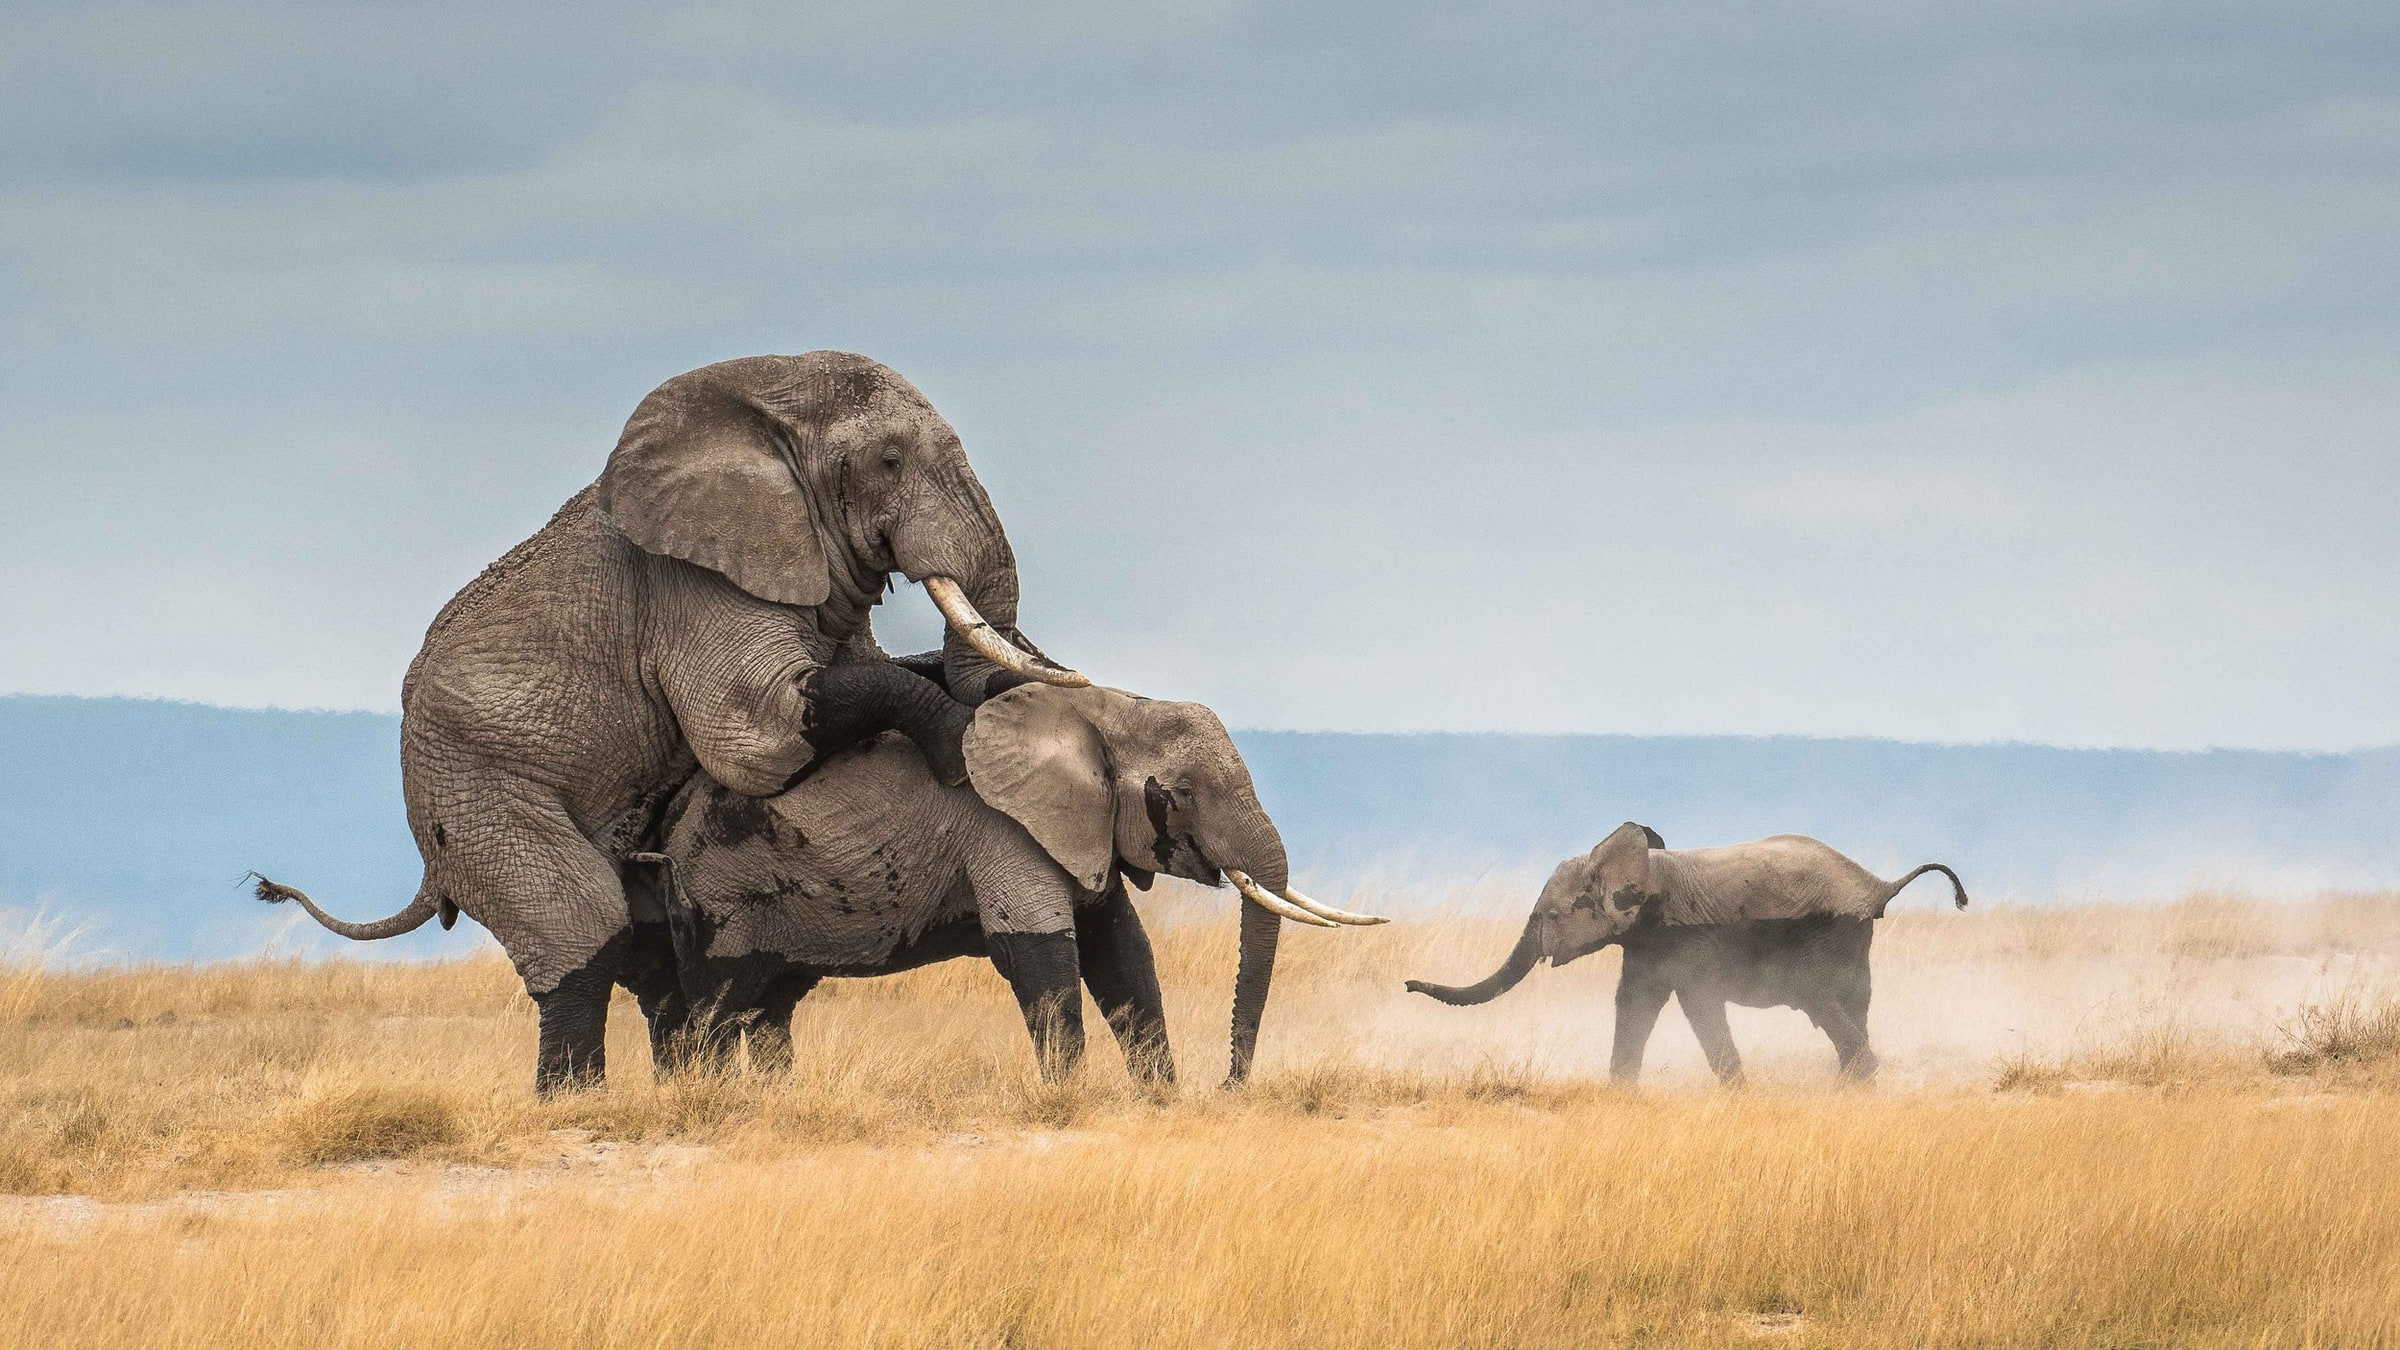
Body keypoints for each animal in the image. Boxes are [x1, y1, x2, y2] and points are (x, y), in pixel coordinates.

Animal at [250, 352, 1089, 1091]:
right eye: (887, 460)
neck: (763, 404)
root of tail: (430, 870)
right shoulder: (687, 586)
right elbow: (757, 738)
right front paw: (955, 749)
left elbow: (870, 670)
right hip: (478, 798)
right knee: (583, 930)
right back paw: (577, 1104)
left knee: (653, 959)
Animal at [632, 682, 1385, 1087]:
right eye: (1179, 794)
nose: (1227, 1086)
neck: (1104, 706)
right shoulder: (1004, 828)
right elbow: (1039, 954)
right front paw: (1070, 1103)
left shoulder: (1080, 828)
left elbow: (1122, 955)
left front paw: (1160, 1100)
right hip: (719, 892)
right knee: (715, 1008)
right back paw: (712, 1100)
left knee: (770, 1007)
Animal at [1406, 824, 1967, 1085]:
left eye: (1549, 916)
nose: (1408, 984)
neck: (1645, 867)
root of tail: (1876, 884)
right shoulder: (1645, 942)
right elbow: (1633, 1004)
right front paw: (1620, 1093)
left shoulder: (1685, 942)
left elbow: (1698, 1005)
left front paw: (1737, 1093)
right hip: (1851, 938)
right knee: (1853, 1004)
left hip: (1823, 934)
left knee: (1820, 1001)